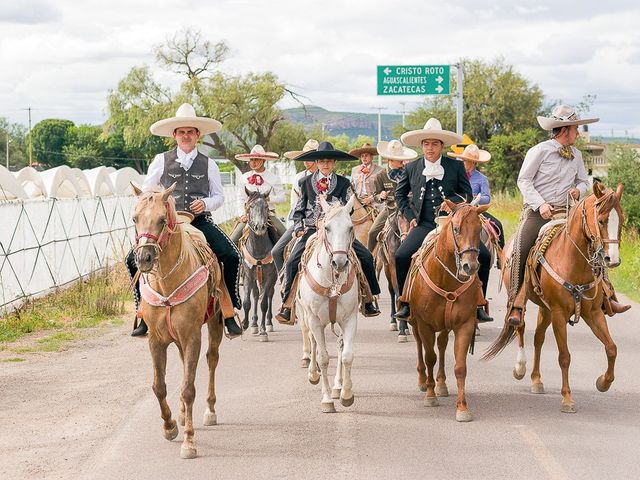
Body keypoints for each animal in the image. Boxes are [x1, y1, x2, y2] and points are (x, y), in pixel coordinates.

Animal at [131, 183, 225, 458]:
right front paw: (170, 426)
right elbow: (159, 386)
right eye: (135, 218)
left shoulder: (192, 336)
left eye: (162, 220)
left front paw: (189, 442)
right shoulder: (156, 340)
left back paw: (210, 411)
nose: (144, 258)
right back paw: (182, 415)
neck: (167, 282)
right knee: (185, 366)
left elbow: (188, 388)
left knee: (211, 360)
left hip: (214, 325)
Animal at [296, 195, 358, 412]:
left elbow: (347, 355)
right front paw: (327, 400)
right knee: (313, 342)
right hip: (308, 316)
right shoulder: (314, 320)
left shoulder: (349, 319)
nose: (339, 262)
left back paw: (338, 386)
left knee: (339, 347)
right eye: (327, 227)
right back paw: (313, 373)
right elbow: (323, 357)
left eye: (350, 227)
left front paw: (346, 393)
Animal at [372, 208, 412, 340]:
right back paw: (394, 322)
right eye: (400, 216)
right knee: (391, 291)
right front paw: (402, 330)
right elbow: (398, 293)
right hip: (387, 270)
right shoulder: (394, 269)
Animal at [404, 201, 490, 422]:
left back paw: (441, 383)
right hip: (415, 324)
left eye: (479, 229)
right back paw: (423, 380)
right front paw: (430, 395)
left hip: (444, 326)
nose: (470, 266)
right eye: (457, 229)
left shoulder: (465, 325)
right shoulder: (425, 325)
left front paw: (462, 408)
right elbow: (430, 357)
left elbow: (460, 366)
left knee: (442, 345)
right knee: (420, 347)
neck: (446, 279)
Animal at [484, 182, 624, 414]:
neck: (573, 261)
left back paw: (536, 380)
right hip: (525, 302)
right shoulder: (559, 313)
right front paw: (567, 399)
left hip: (545, 308)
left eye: (620, 219)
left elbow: (611, 348)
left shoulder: (593, 313)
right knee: (520, 326)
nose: (611, 259)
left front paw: (603, 382)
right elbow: (564, 356)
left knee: (538, 338)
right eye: (602, 220)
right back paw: (520, 368)